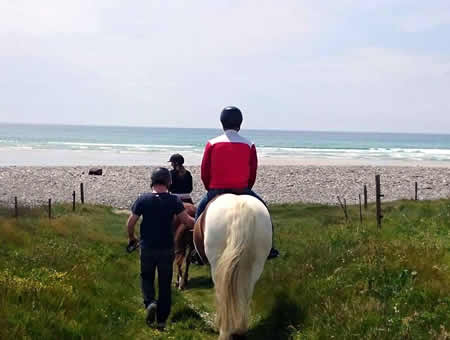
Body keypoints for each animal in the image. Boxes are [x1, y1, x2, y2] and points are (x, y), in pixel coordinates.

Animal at [203, 194, 270, 340]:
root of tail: (239, 205)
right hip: (256, 265)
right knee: (247, 291)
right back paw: (240, 329)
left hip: (216, 263)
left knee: (222, 292)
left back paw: (224, 329)